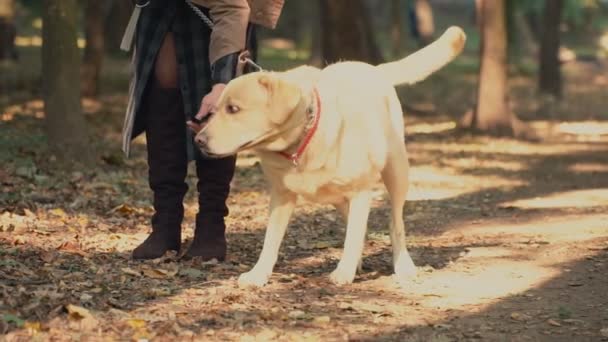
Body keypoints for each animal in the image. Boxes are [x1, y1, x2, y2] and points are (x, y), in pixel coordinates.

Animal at [194, 26, 466, 288]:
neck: (302, 140)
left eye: (233, 109)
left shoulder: (361, 191)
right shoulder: (281, 195)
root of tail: (372, 68)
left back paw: (403, 265)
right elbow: (271, 240)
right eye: (215, 110)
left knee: (394, 223)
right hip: (338, 195)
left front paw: (343, 272)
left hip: (397, 171)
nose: (198, 140)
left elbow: (355, 234)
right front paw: (258, 275)